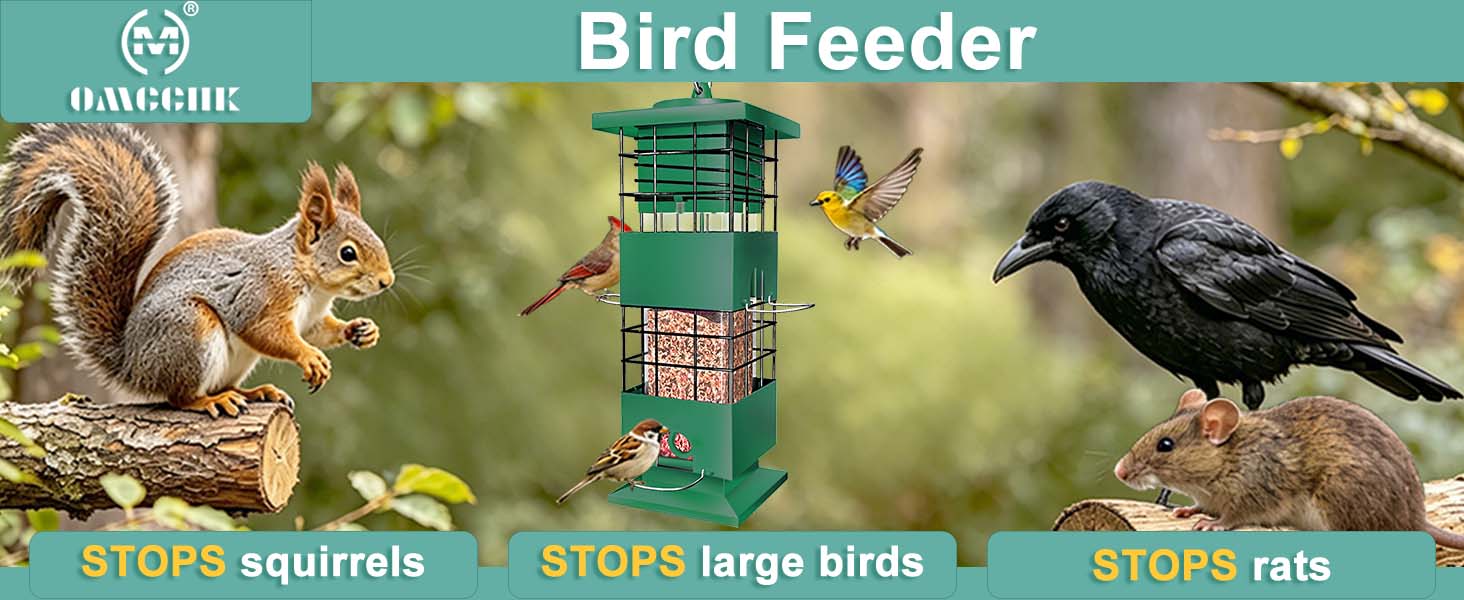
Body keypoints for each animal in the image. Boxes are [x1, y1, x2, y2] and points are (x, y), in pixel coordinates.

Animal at [0, 123, 394, 417]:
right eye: (347, 253)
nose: (387, 281)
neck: (309, 281)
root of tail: (132, 364)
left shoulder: (310, 317)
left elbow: (318, 331)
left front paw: (361, 330)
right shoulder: (262, 294)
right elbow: (268, 332)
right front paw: (309, 357)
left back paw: (255, 392)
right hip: (190, 329)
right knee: (179, 397)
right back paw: (211, 400)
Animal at [1114, 389, 1464, 549]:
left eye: (1165, 445)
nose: (1119, 472)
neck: (1230, 455)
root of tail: (1415, 519)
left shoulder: (1256, 494)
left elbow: (1233, 517)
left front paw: (1211, 525)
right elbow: (1200, 506)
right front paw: (1187, 511)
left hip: (1340, 498)